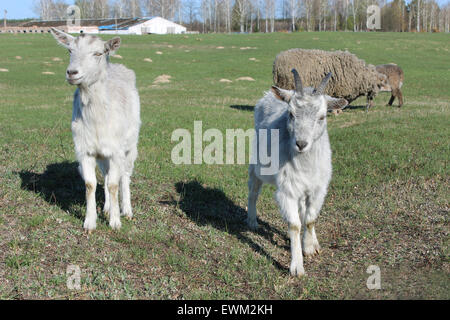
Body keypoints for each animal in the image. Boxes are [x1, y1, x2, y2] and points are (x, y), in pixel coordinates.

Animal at [49, 28, 142, 232]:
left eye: (98, 53)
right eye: (69, 50)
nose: (72, 72)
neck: (97, 119)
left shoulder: (116, 151)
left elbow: (115, 184)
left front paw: (115, 222)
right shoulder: (85, 149)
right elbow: (91, 184)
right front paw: (90, 222)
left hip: (130, 146)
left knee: (125, 175)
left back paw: (127, 210)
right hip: (102, 155)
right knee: (106, 176)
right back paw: (106, 207)